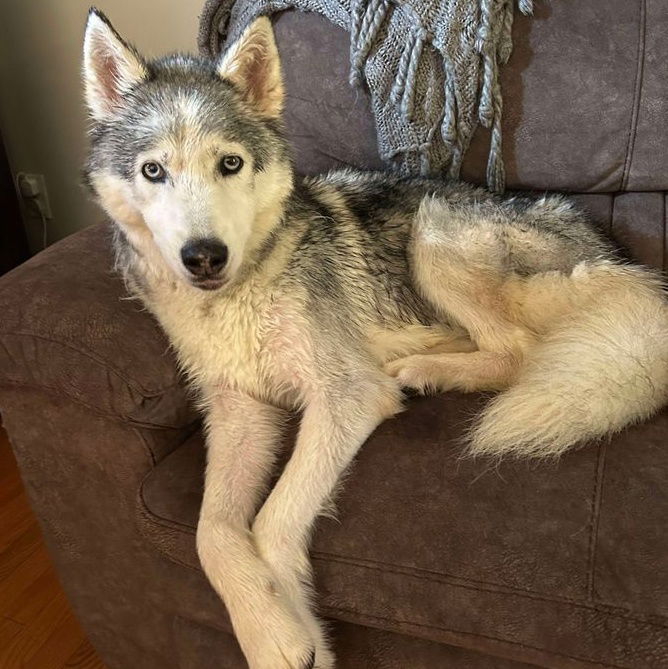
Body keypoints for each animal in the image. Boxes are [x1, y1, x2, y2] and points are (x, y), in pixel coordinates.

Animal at [82, 10, 668, 668]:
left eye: (229, 164)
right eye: (152, 170)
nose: (204, 257)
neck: (240, 293)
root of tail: (615, 259)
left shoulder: (345, 397)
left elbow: (273, 520)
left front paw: (296, 632)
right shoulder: (241, 412)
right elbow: (212, 532)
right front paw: (266, 629)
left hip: (434, 233)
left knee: (518, 349)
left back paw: (429, 370)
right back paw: (425, 363)